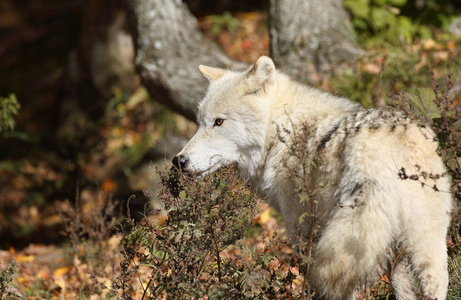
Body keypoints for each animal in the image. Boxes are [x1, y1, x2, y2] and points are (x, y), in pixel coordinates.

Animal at [174, 56, 452, 300]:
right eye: (200, 123)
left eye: (219, 122)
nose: (179, 161)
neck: (282, 132)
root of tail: (390, 148)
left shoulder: (301, 232)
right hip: (421, 245)